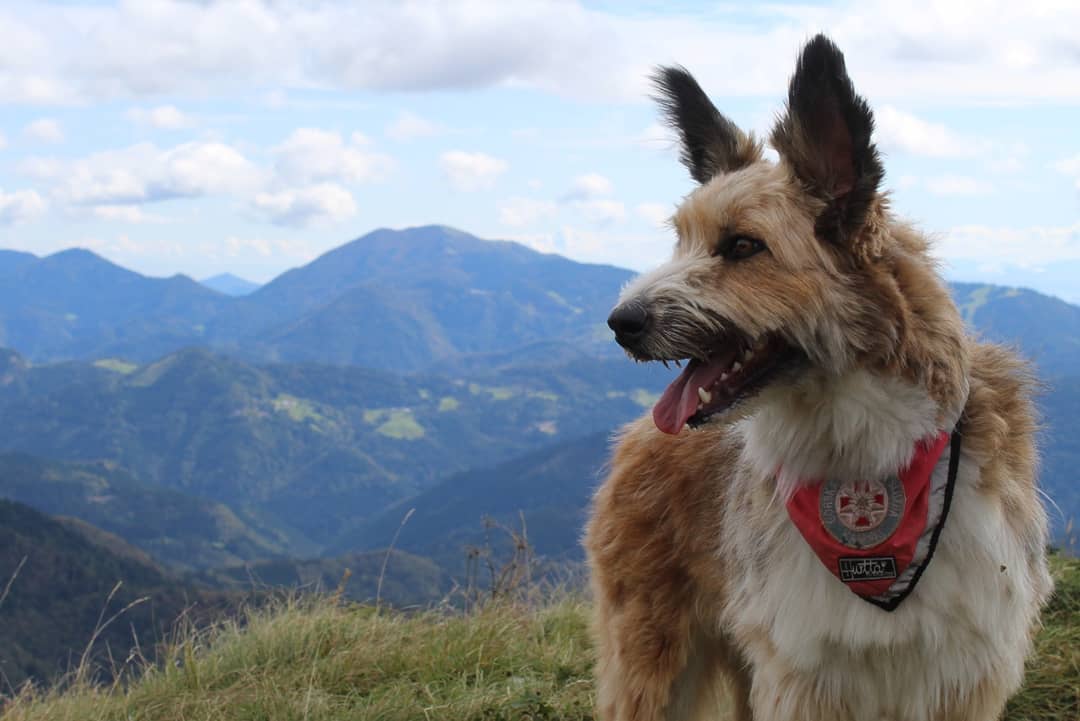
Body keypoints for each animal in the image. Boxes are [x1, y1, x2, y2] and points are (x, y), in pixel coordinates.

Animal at [587, 33, 1049, 721]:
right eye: (681, 241)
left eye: (743, 246)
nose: (621, 323)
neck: (869, 451)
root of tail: (638, 434)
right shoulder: (803, 673)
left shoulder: (958, 673)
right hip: (651, 650)